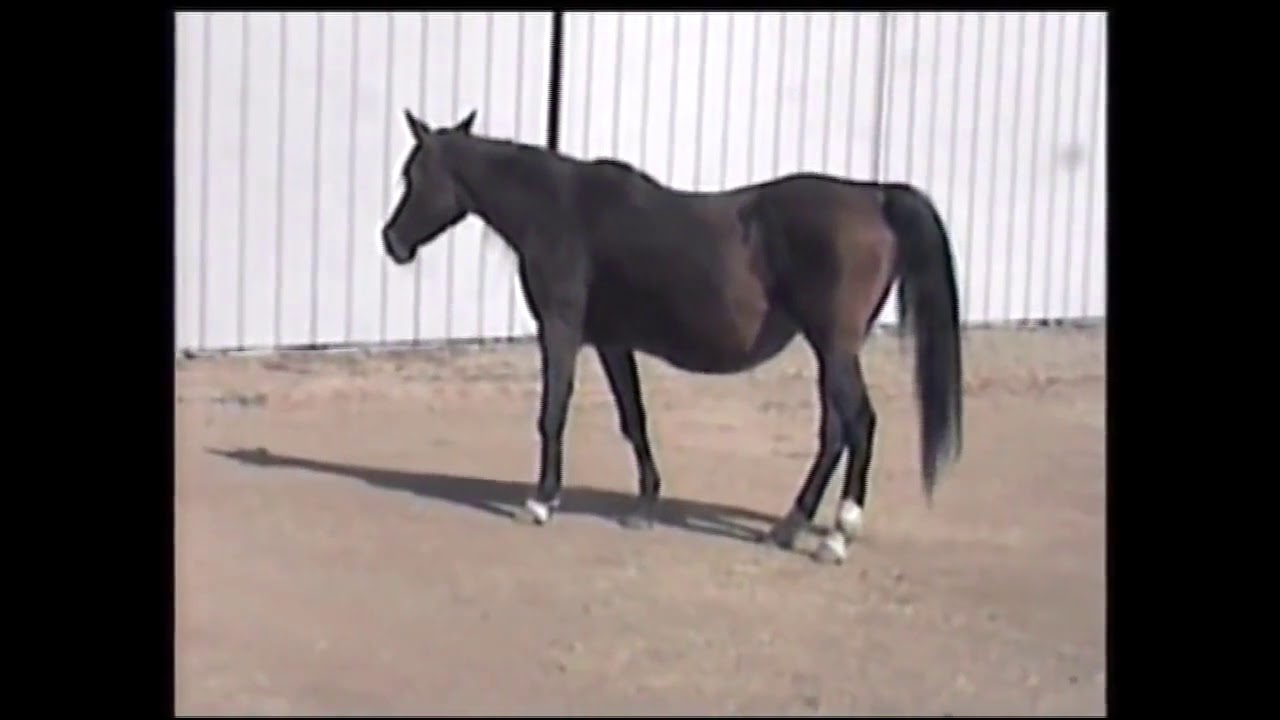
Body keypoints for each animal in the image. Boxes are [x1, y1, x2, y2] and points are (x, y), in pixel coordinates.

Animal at [380, 109, 964, 565]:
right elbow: (633, 418)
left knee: (859, 423)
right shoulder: (612, 341)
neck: (561, 211)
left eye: (414, 175)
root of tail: (875, 198)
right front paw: (645, 505)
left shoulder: (562, 329)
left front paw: (541, 502)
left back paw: (837, 536)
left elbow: (553, 412)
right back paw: (789, 525)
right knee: (835, 432)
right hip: (829, 350)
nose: (392, 242)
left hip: (835, 347)